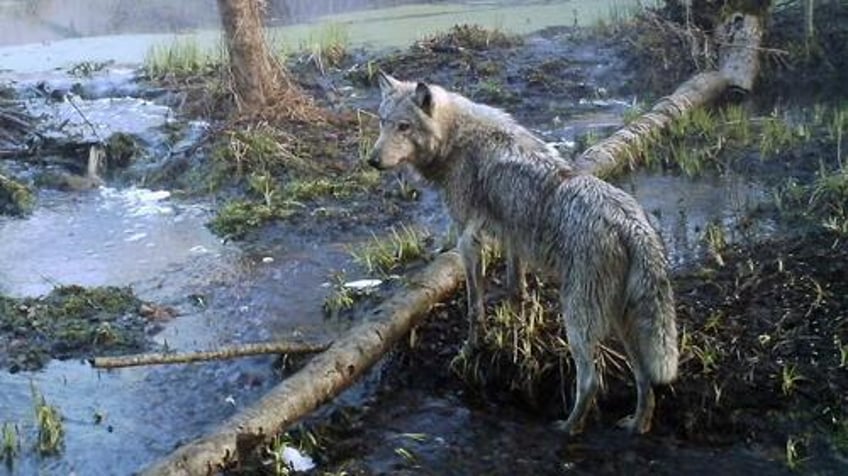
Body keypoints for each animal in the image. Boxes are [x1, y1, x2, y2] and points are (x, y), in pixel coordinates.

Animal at [368, 71, 680, 436]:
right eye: (383, 122)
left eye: (404, 127)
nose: (372, 161)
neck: (456, 139)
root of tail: (632, 224)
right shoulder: (512, 237)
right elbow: (515, 289)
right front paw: (516, 333)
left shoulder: (468, 240)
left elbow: (475, 309)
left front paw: (469, 351)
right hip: (622, 323)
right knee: (645, 379)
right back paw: (637, 425)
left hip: (578, 322)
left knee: (591, 381)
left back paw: (567, 428)